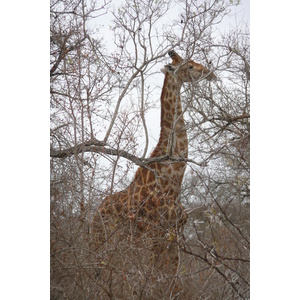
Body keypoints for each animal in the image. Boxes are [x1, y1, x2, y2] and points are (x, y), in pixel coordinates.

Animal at [92, 50, 216, 298]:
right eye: (189, 66)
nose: (210, 73)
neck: (172, 180)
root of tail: (93, 216)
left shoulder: (175, 232)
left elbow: (172, 278)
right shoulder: (155, 234)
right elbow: (159, 278)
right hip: (104, 243)